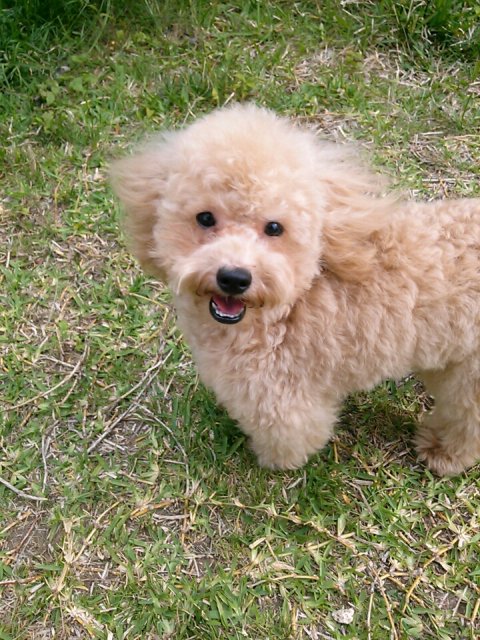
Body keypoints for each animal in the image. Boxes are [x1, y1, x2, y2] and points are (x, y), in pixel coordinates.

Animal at [112, 103, 480, 476]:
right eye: (205, 218)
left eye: (274, 227)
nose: (234, 278)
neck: (290, 305)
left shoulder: (280, 396)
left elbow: (293, 434)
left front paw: (274, 462)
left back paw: (444, 453)